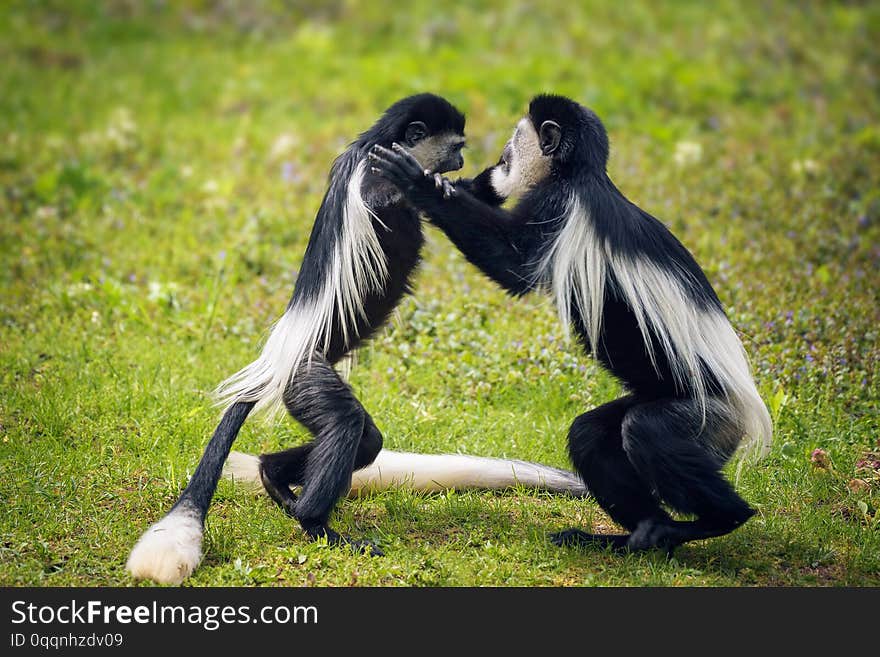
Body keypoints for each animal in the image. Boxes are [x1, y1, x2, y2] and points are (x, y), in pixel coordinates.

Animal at [127, 93, 584, 584]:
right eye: (456, 146)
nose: (463, 159)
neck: (374, 147)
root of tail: (275, 361)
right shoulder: (374, 182)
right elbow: (402, 198)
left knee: (366, 440)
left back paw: (274, 478)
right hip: (307, 379)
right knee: (347, 425)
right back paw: (315, 523)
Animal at [370, 93, 768, 552]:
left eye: (514, 140)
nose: (499, 158)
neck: (579, 175)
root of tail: (744, 411)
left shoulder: (556, 208)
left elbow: (515, 267)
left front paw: (417, 184)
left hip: (704, 417)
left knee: (647, 431)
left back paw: (718, 519)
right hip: (664, 404)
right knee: (591, 436)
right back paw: (641, 533)